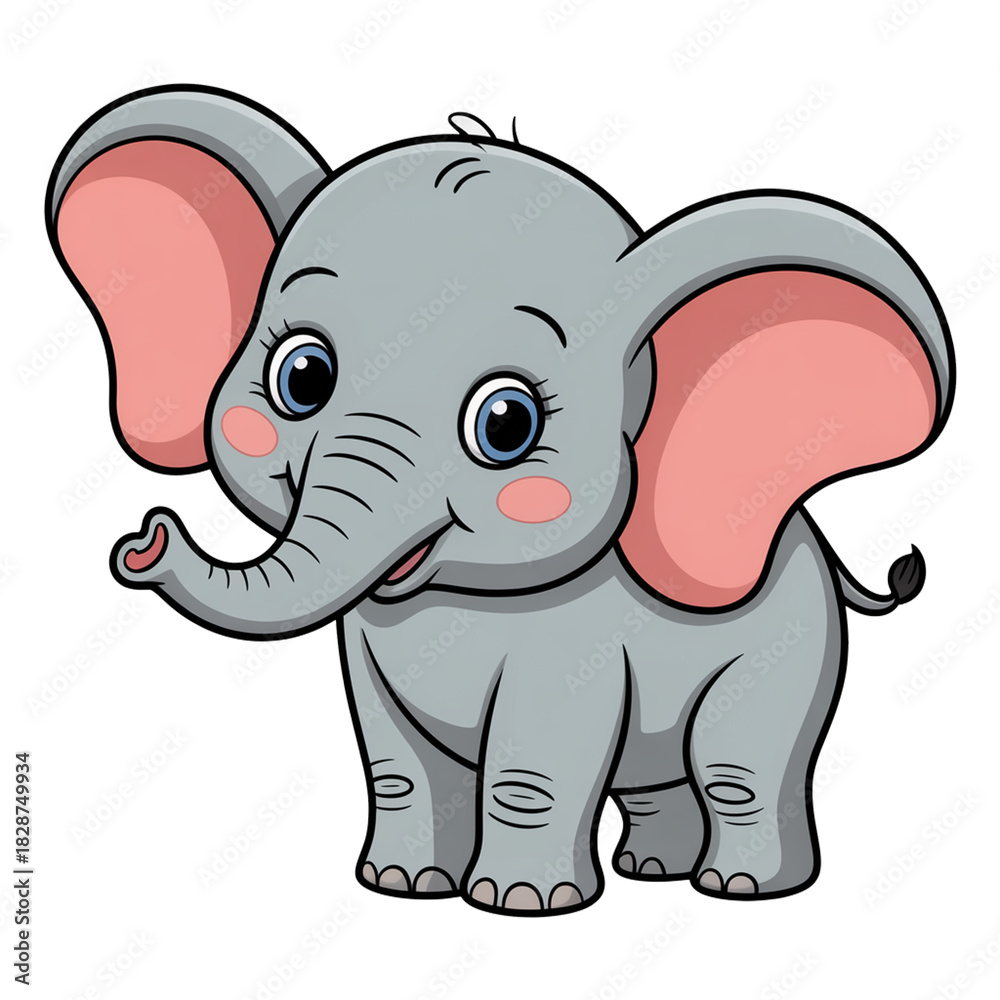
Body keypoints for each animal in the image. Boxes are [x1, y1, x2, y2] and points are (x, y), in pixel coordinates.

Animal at [46, 85, 953, 915]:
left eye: (507, 423)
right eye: (301, 376)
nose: (146, 540)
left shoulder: (574, 645)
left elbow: (536, 759)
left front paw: (520, 904)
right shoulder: (367, 650)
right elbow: (396, 763)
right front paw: (401, 886)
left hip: (789, 645)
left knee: (741, 764)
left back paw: (739, 888)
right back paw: (652, 872)